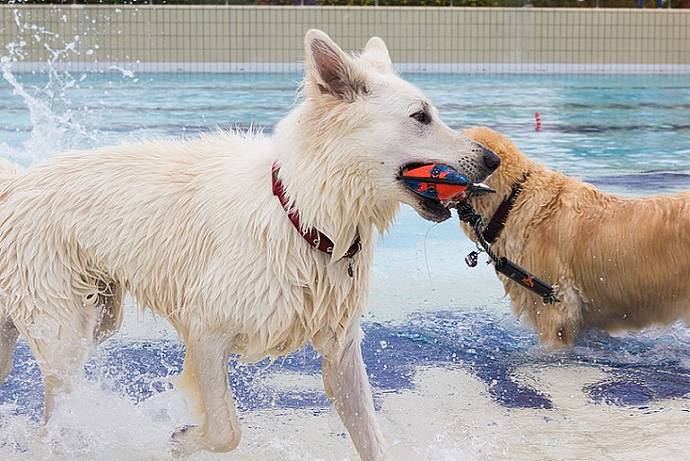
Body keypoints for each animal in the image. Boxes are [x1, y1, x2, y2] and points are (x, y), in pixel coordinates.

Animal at [0, 30, 498, 458]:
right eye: (421, 117)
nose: (492, 159)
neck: (306, 214)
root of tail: (18, 184)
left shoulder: (341, 351)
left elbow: (371, 438)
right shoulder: (206, 330)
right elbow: (226, 431)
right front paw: (180, 439)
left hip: (97, 316)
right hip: (63, 330)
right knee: (56, 408)